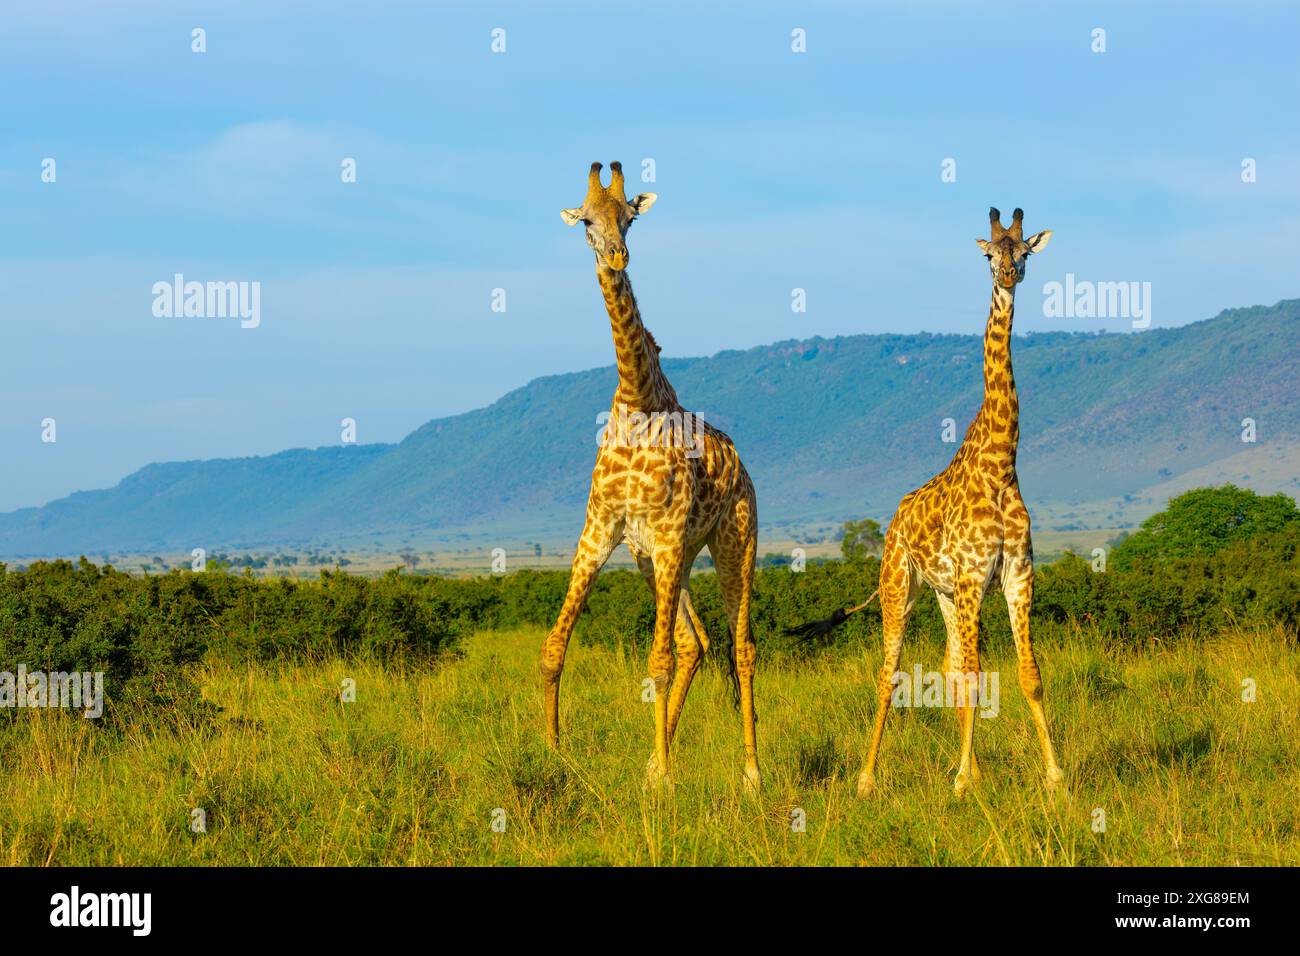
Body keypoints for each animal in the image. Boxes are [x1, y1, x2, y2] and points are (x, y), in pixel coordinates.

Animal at [540, 161, 761, 791]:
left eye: (630, 218)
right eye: (587, 221)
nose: (617, 256)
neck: (637, 401)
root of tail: (743, 469)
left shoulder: (663, 534)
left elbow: (655, 662)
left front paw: (663, 779)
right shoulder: (602, 531)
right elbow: (555, 646)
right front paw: (552, 752)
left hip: (732, 543)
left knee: (740, 648)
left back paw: (750, 771)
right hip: (665, 561)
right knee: (695, 642)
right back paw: (654, 756)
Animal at [789, 208, 1064, 798]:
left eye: (1025, 252)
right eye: (990, 254)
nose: (1008, 275)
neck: (1001, 463)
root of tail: (894, 520)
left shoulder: (1016, 576)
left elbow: (1027, 676)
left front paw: (1053, 776)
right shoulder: (974, 576)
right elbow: (979, 678)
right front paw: (961, 783)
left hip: (943, 594)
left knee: (951, 665)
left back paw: (971, 769)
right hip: (901, 586)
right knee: (889, 674)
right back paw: (868, 779)